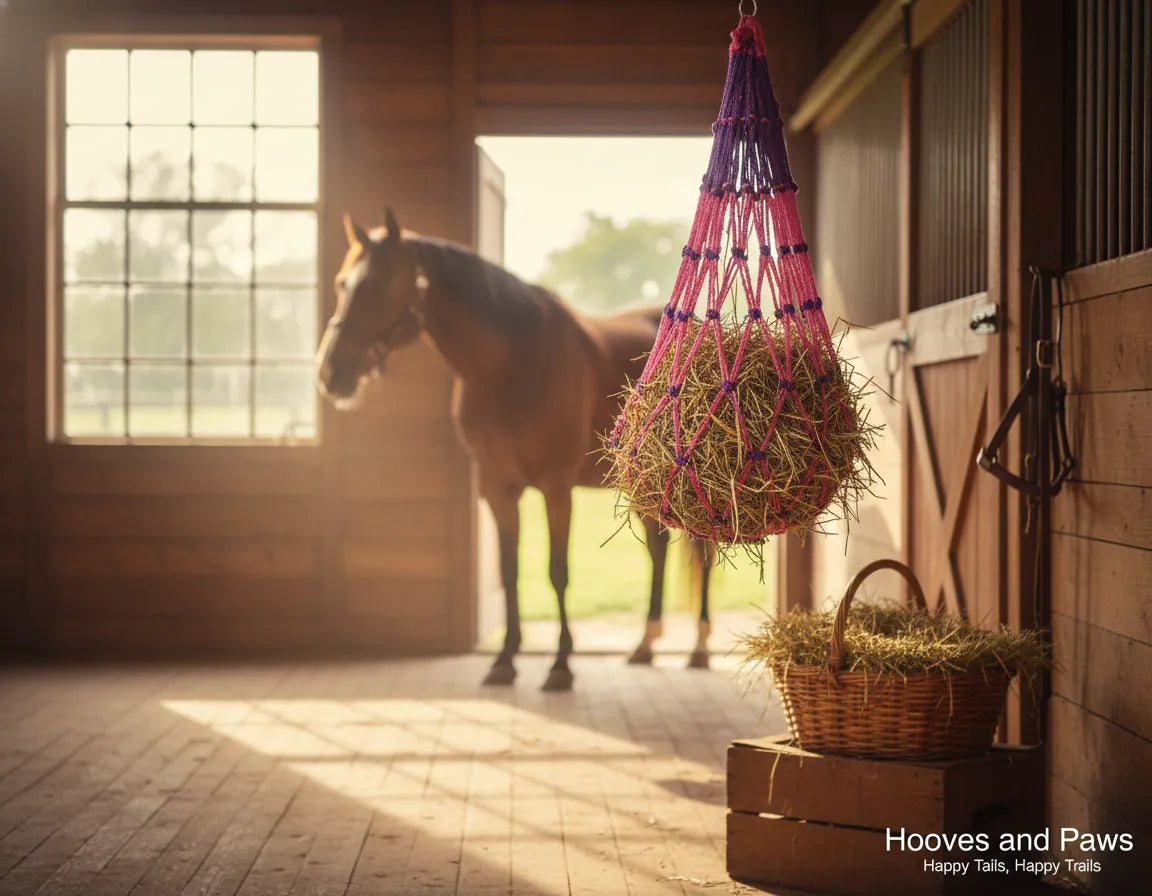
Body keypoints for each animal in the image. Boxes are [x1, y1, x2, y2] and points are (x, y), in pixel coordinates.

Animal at [315, 209, 713, 691]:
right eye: (341, 284)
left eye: (375, 285)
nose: (331, 372)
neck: (511, 365)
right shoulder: (497, 488)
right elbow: (509, 572)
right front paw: (504, 659)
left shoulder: (556, 488)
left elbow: (557, 572)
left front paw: (560, 665)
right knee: (658, 547)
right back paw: (645, 645)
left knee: (702, 554)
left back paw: (699, 648)